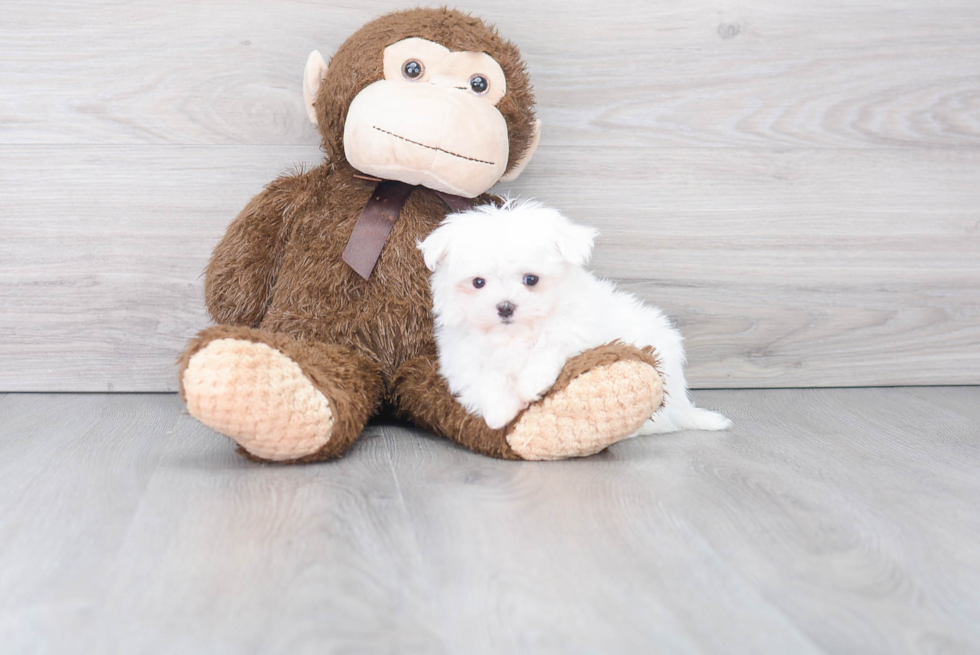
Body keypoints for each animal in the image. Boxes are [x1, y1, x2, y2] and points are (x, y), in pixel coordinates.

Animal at [418, 200, 732, 436]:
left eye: (531, 279)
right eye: (478, 283)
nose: (505, 307)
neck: (515, 333)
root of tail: (681, 401)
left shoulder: (575, 330)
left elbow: (550, 349)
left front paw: (530, 385)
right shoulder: (463, 356)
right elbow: (484, 378)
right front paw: (499, 412)